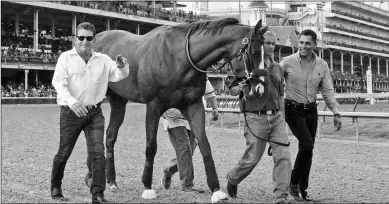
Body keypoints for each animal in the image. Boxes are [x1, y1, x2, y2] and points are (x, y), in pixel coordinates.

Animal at [92, 17, 266, 202]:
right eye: (255, 53)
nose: (259, 89)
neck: (178, 57)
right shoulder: (153, 106)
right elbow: (151, 146)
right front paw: (147, 186)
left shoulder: (194, 105)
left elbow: (204, 145)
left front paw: (216, 189)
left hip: (119, 102)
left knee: (110, 136)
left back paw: (111, 181)